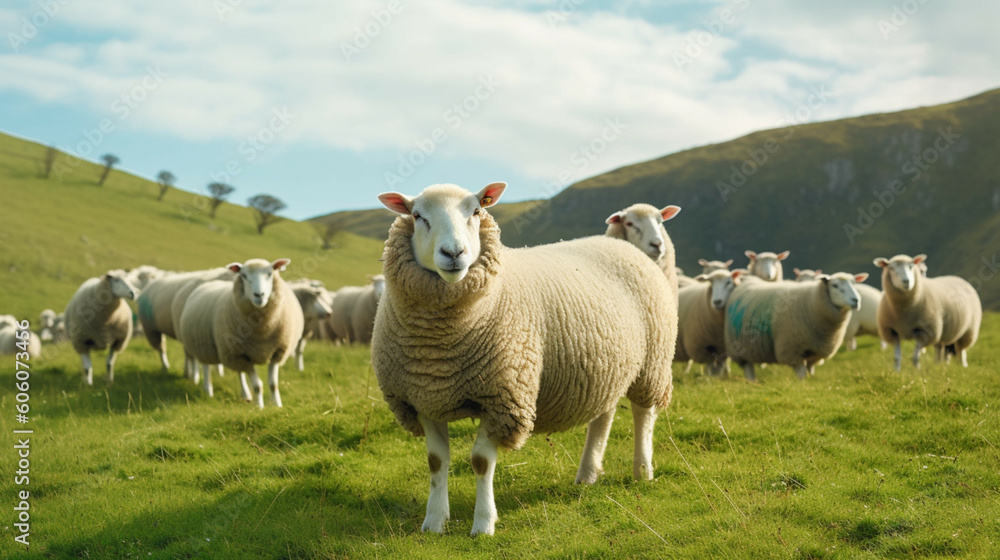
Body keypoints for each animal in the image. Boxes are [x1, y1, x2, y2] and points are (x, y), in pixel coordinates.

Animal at [179, 258, 304, 406]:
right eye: (244, 275)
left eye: (270, 273)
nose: (259, 295)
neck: (263, 331)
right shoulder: (242, 356)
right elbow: (257, 386)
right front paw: (259, 407)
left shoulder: (276, 352)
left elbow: (273, 384)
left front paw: (277, 405)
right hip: (204, 345)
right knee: (206, 367)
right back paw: (208, 391)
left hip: (233, 352)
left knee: (240, 373)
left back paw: (246, 395)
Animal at [372, 182, 676, 536]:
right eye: (418, 216)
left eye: (476, 211)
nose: (454, 254)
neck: (438, 350)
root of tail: (620, 246)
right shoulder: (423, 397)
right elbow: (436, 462)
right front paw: (433, 522)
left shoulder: (504, 398)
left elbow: (481, 462)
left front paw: (483, 524)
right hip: (607, 365)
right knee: (603, 415)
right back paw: (587, 474)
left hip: (653, 361)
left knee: (644, 413)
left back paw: (643, 470)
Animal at [724, 272, 864, 380]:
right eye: (835, 285)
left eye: (854, 284)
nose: (856, 300)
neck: (812, 302)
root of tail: (746, 280)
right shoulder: (793, 349)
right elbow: (801, 373)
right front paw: (803, 384)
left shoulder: (815, 351)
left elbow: (810, 370)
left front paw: (811, 380)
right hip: (741, 347)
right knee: (748, 368)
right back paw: (752, 381)